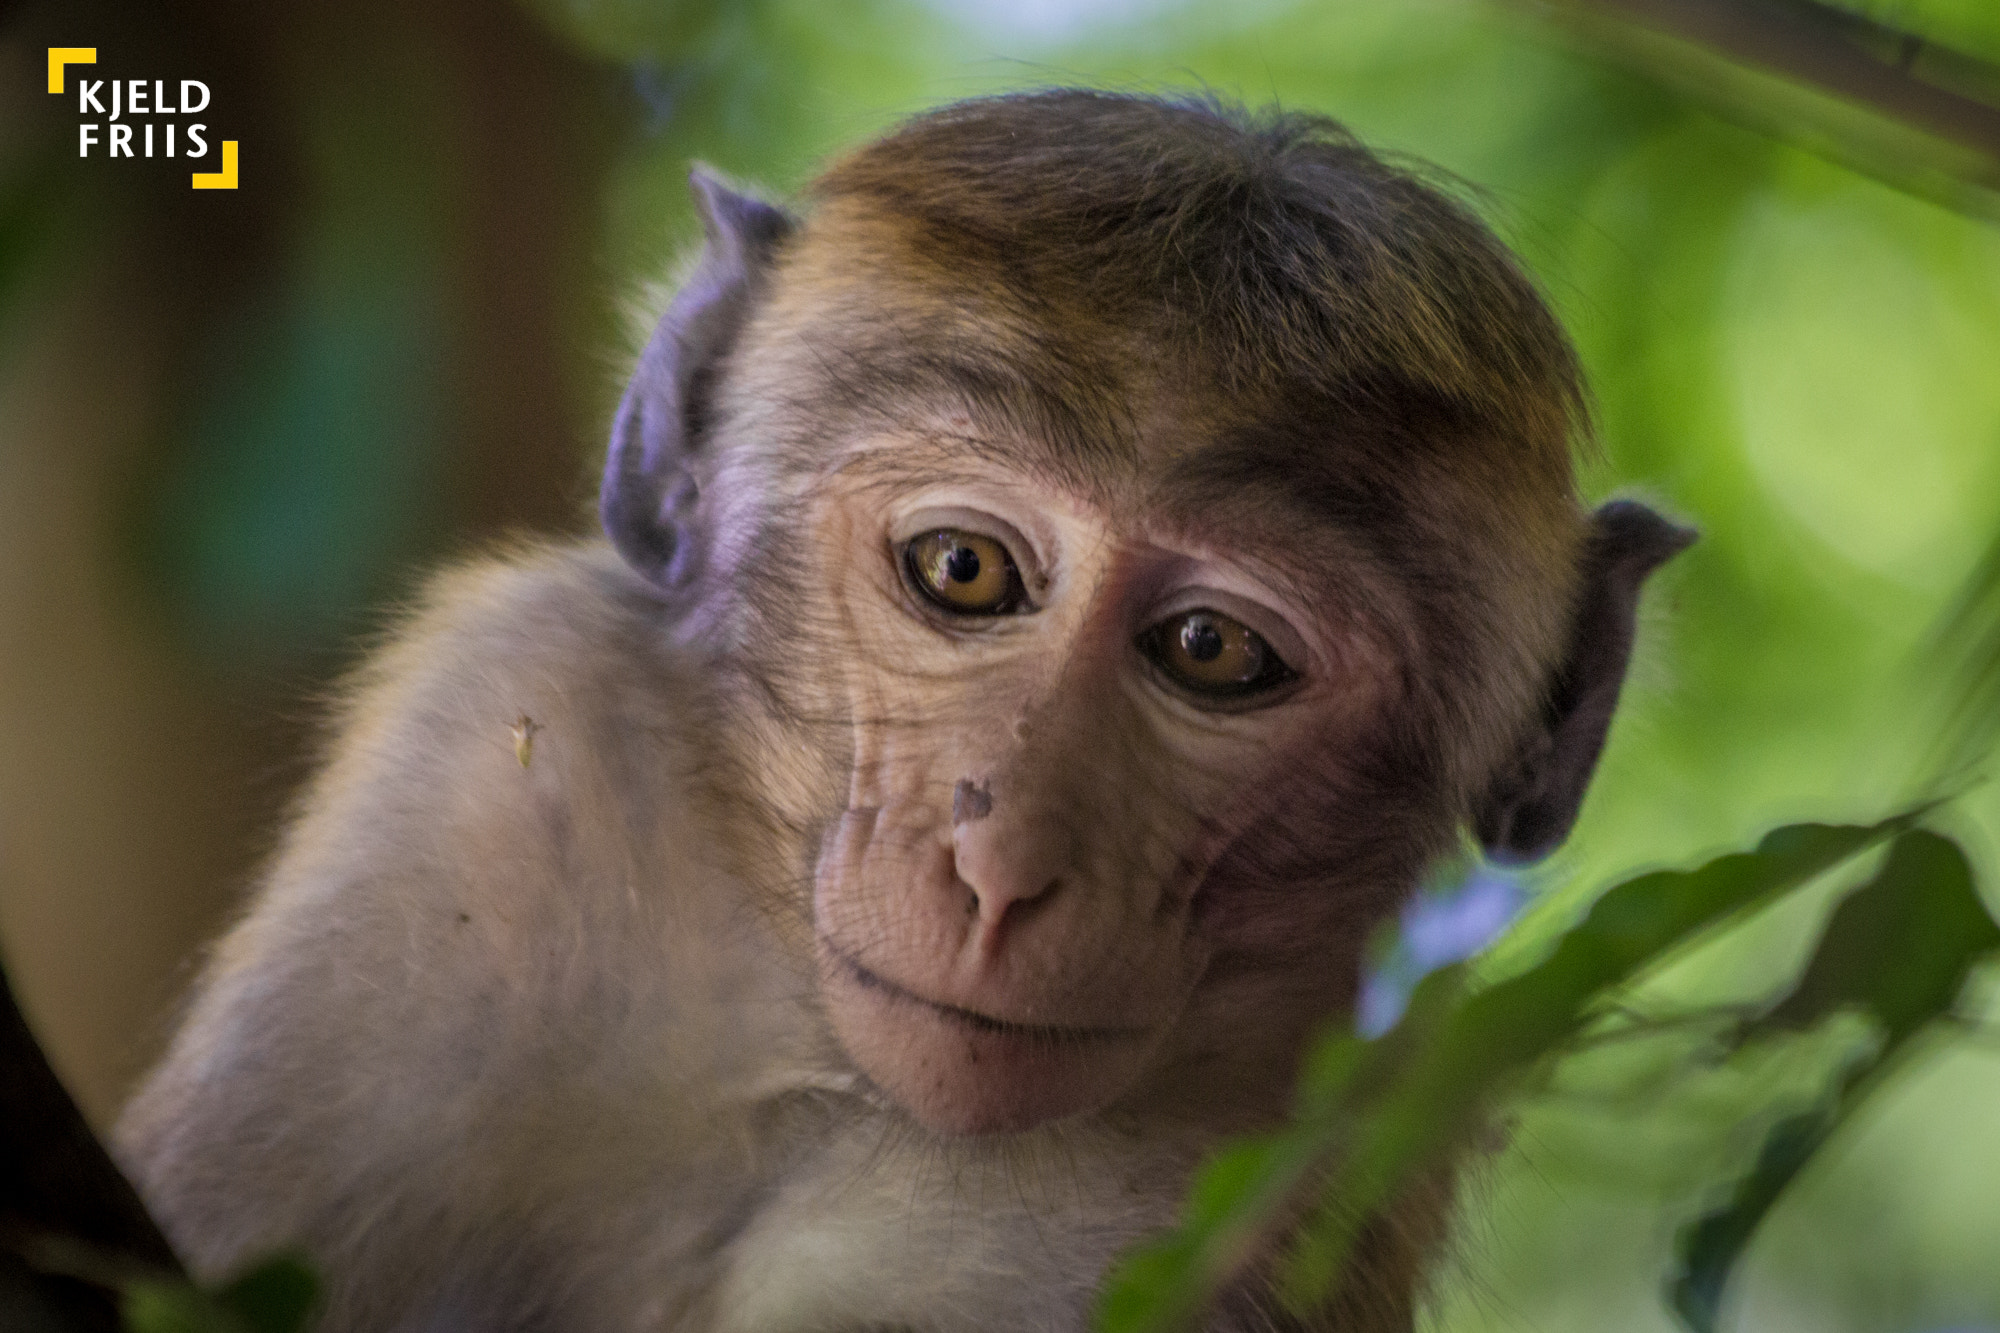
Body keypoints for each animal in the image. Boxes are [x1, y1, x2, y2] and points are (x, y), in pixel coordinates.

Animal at [115, 90, 1693, 1333]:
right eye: (965, 569)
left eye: (1212, 650)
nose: (1002, 865)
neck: (819, 1068)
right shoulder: (492, 761)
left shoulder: (1318, 1148)